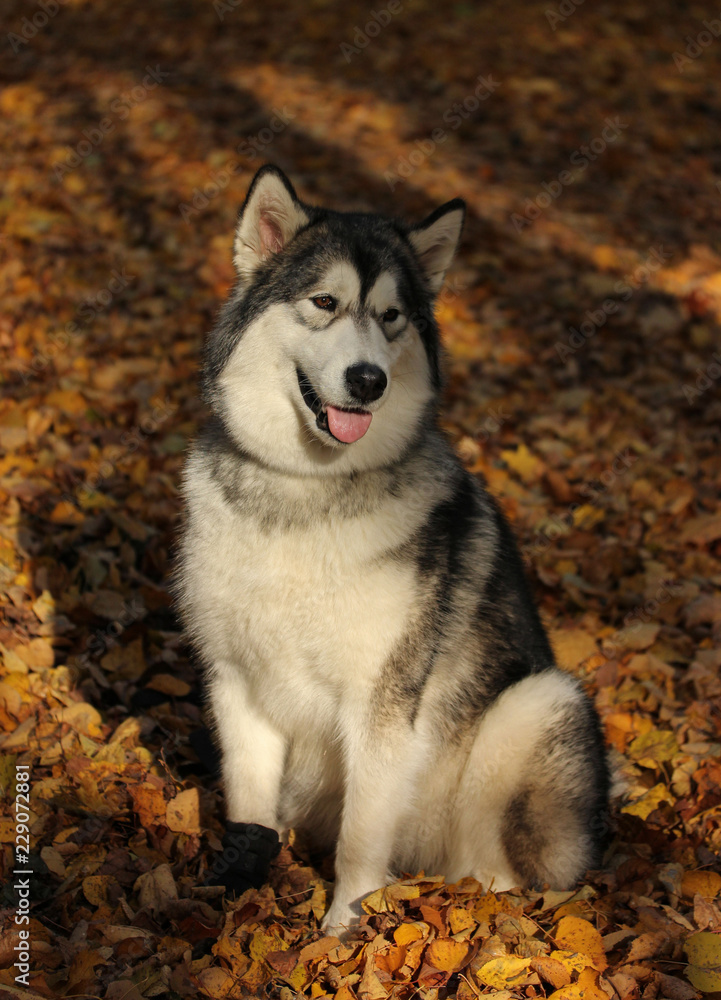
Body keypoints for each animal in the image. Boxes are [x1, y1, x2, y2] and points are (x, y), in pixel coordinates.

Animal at [175, 164, 610, 934]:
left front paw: (344, 930)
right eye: (325, 302)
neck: (305, 488)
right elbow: (248, 804)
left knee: (503, 877)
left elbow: (360, 835)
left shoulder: (380, 704)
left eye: (391, 317)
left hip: (535, 706)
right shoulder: (235, 681)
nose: (368, 380)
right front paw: (241, 884)